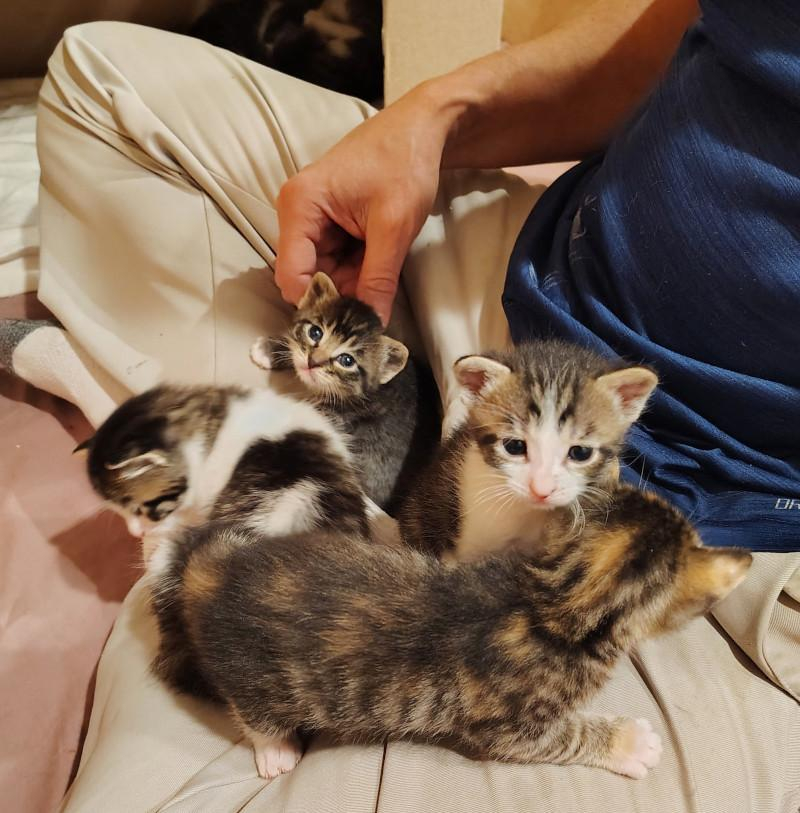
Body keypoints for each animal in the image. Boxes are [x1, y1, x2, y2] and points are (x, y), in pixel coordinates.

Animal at [150, 482, 752, 780]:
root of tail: (210, 571)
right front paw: (629, 744)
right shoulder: (510, 726)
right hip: (257, 677)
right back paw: (275, 750)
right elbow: (566, 736)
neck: (551, 599)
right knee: (251, 709)